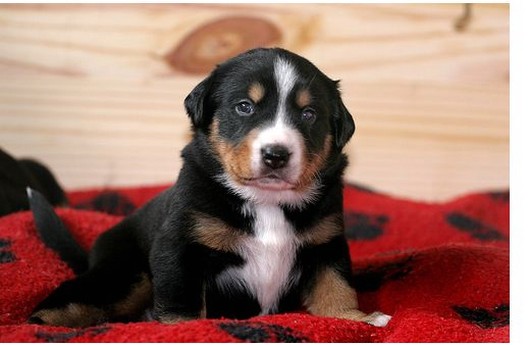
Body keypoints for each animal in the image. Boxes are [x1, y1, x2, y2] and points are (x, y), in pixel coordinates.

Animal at [28, 47, 392, 326]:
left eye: (309, 114)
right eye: (244, 106)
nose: (276, 154)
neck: (266, 200)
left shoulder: (326, 242)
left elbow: (336, 284)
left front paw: (355, 318)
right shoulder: (180, 245)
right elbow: (183, 299)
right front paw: (185, 329)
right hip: (127, 275)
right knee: (77, 296)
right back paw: (43, 323)